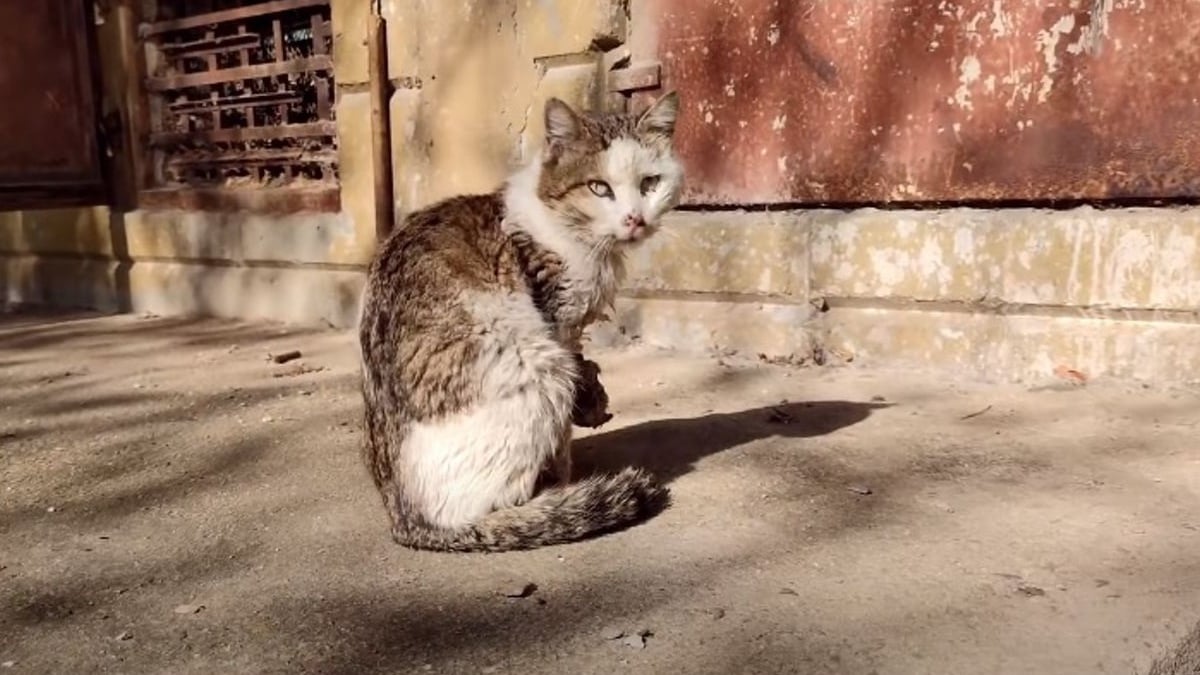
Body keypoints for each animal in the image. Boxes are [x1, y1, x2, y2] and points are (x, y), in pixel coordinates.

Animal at [355, 90, 686, 552]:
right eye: (598, 188)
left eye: (650, 184)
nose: (635, 219)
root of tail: (406, 520)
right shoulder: (557, 322)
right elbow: (562, 434)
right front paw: (564, 482)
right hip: (537, 366)